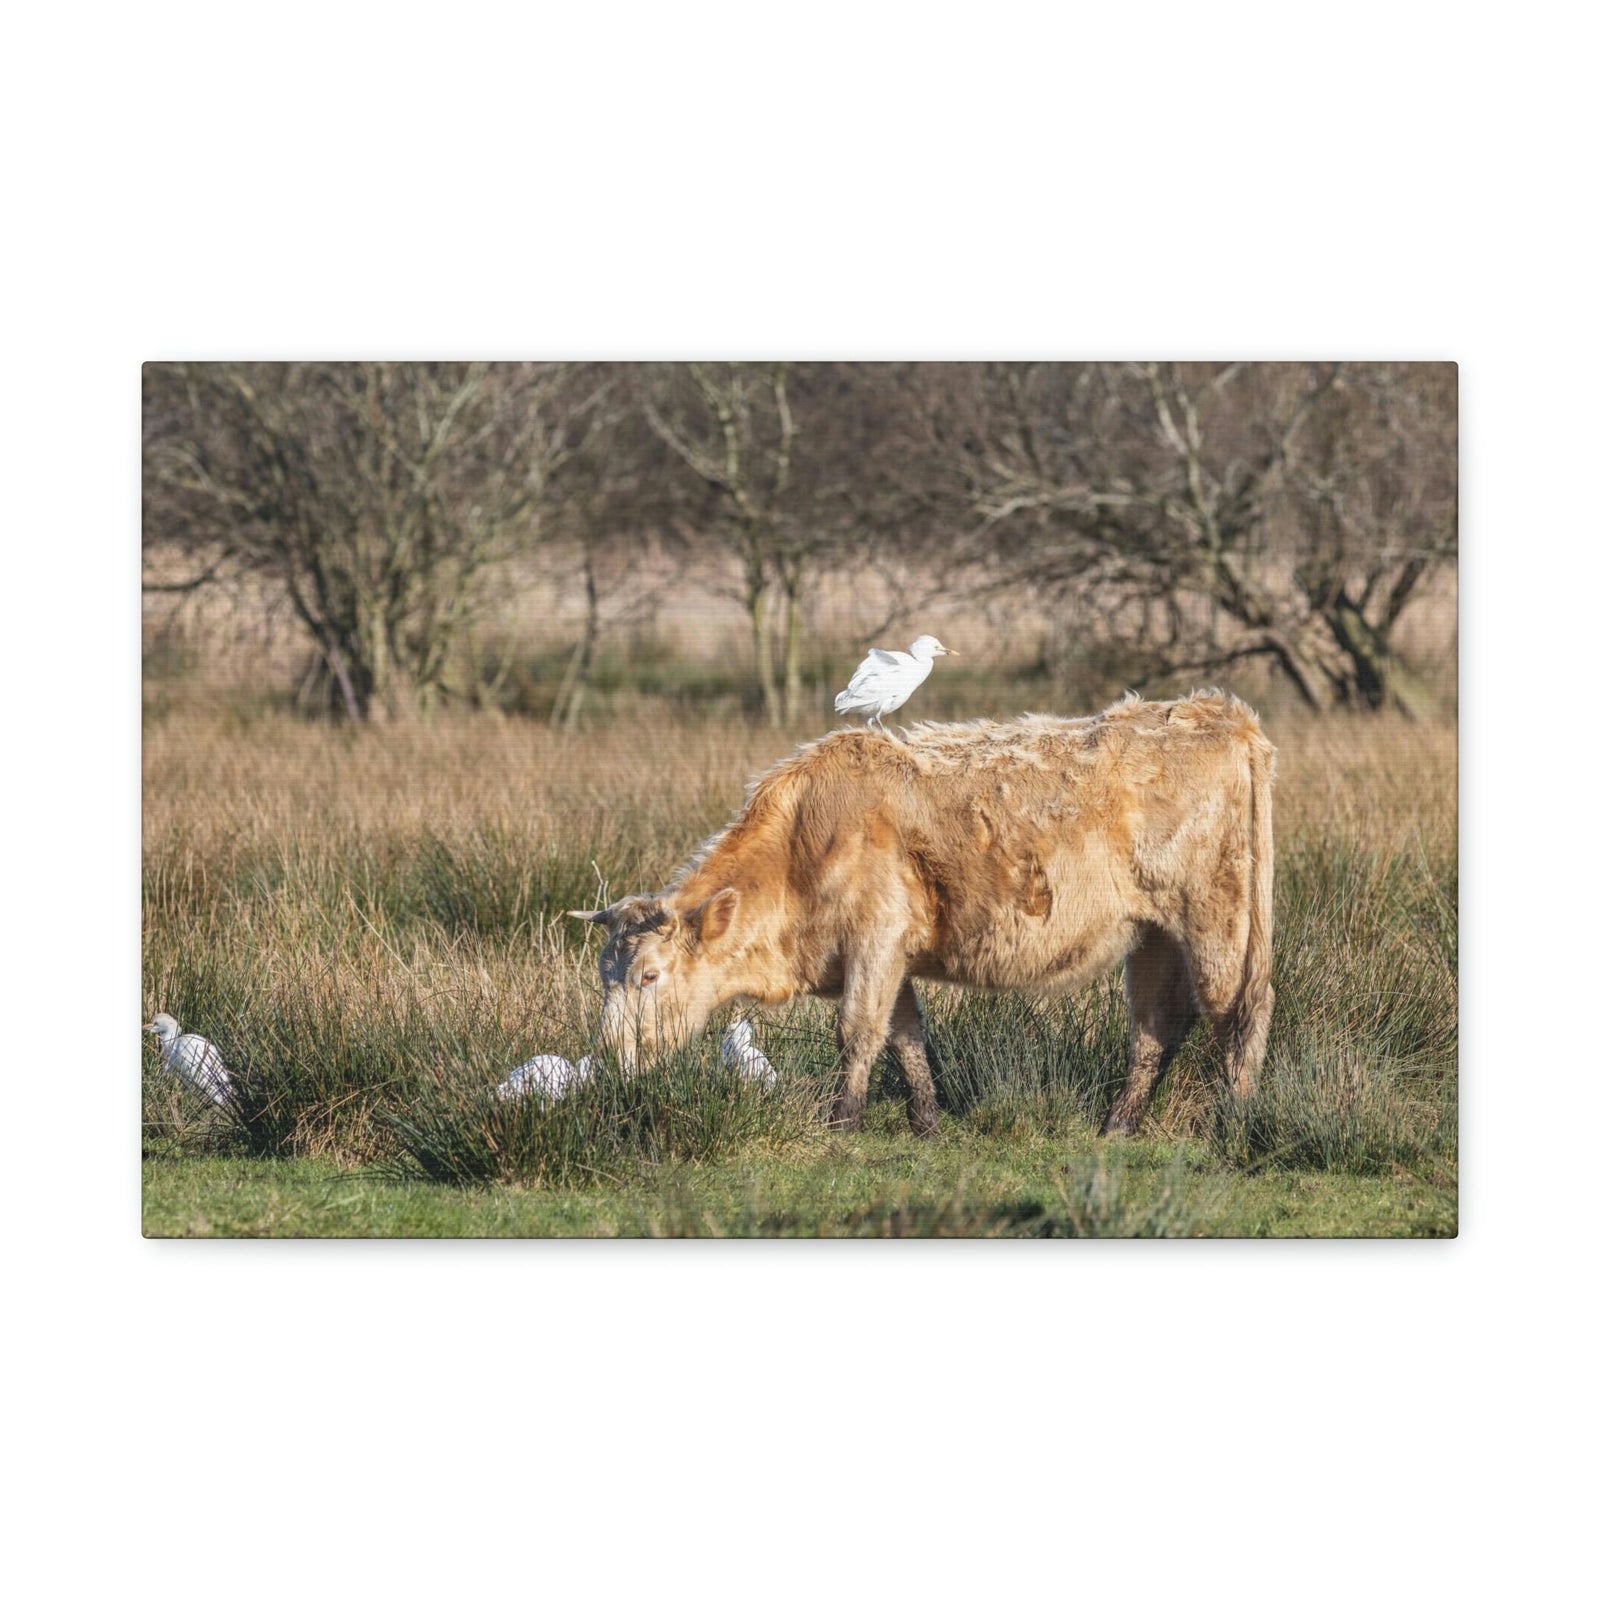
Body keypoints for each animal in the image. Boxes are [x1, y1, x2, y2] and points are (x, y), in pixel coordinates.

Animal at [570, 689, 1275, 1136]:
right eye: (604, 976)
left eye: (650, 975)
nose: (609, 1058)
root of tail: (1222, 712)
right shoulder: (892, 957)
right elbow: (906, 1037)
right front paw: (927, 1122)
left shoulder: (875, 940)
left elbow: (858, 1031)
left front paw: (842, 1123)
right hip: (1154, 935)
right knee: (1156, 1026)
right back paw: (1118, 1124)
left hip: (1219, 921)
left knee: (1239, 1012)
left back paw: (1234, 1119)